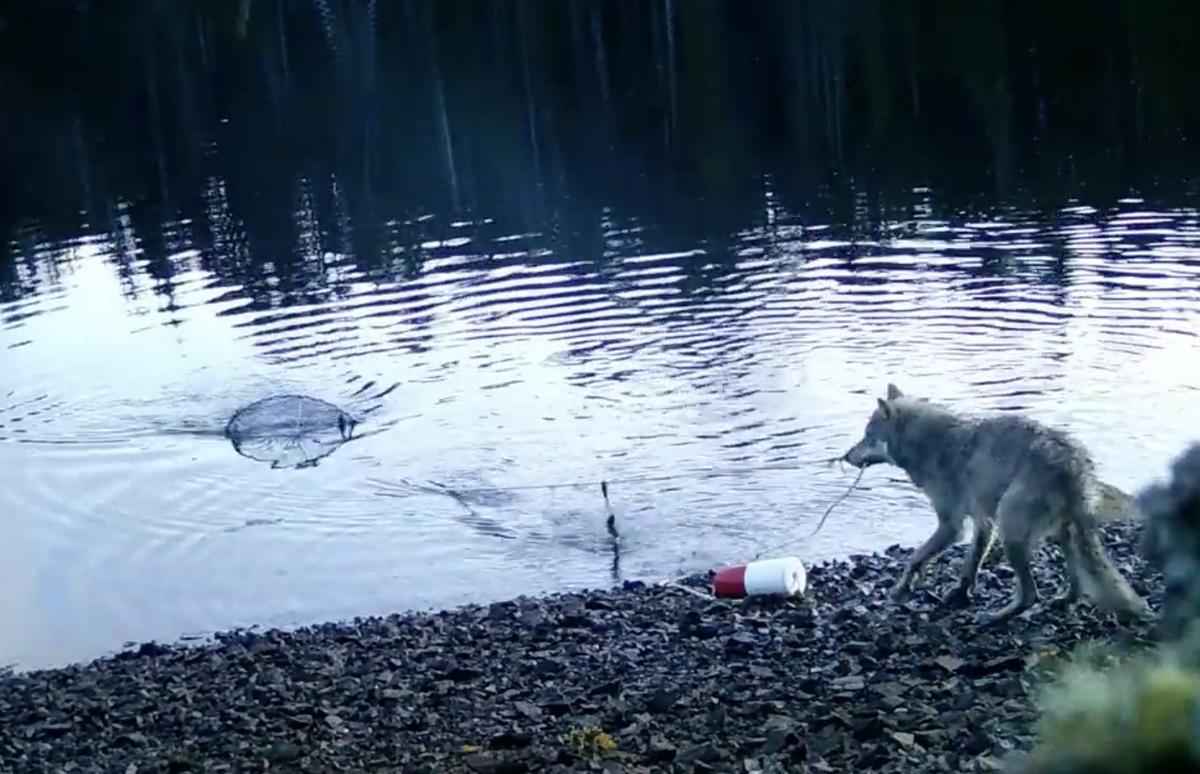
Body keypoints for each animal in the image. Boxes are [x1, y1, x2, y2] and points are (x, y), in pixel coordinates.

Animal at [843, 383, 1151, 626]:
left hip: (1012, 531)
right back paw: (1063, 600)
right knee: (1076, 585)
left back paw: (996, 617)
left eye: (867, 437)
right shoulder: (983, 523)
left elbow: (915, 557)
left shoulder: (952, 526)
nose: (845, 456)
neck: (927, 443)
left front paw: (901, 589)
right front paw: (960, 593)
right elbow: (970, 564)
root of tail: (1073, 466)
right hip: (1058, 534)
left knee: (1030, 595)